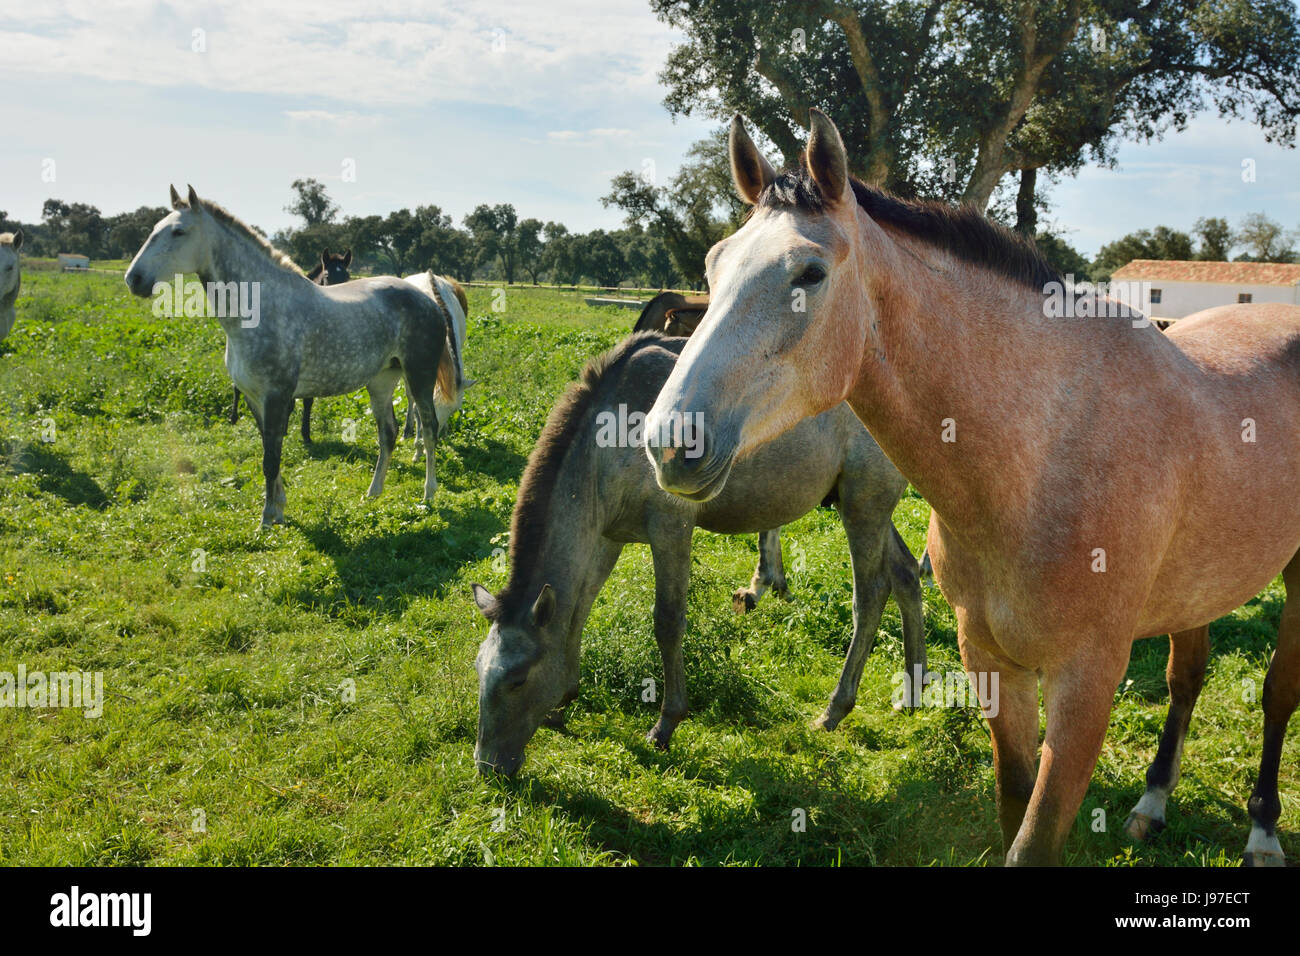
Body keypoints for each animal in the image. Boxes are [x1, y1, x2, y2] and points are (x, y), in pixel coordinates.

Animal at [228, 247, 351, 442]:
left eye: (347, 276)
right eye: (327, 276)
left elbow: (307, 400)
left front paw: (305, 434)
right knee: (237, 387)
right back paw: (233, 418)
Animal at [467, 332, 925, 775]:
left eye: (517, 679)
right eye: (478, 668)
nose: (488, 766)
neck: (606, 442)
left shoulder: (671, 525)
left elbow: (667, 622)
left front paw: (666, 723)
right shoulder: (607, 535)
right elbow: (577, 614)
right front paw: (563, 701)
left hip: (864, 502)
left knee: (870, 595)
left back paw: (835, 709)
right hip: (857, 501)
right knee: (905, 573)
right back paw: (914, 690)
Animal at [647, 110, 1300, 868]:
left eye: (809, 272)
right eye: (714, 266)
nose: (670, 441)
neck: (1040, 461)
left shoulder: (1087, 683)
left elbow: (1035, 837)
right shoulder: (990, 661)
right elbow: (1013, 801)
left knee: (1278, 695)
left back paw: (1262, 832)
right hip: (1194, 592)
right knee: (1187, 678)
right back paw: (1152, 805)